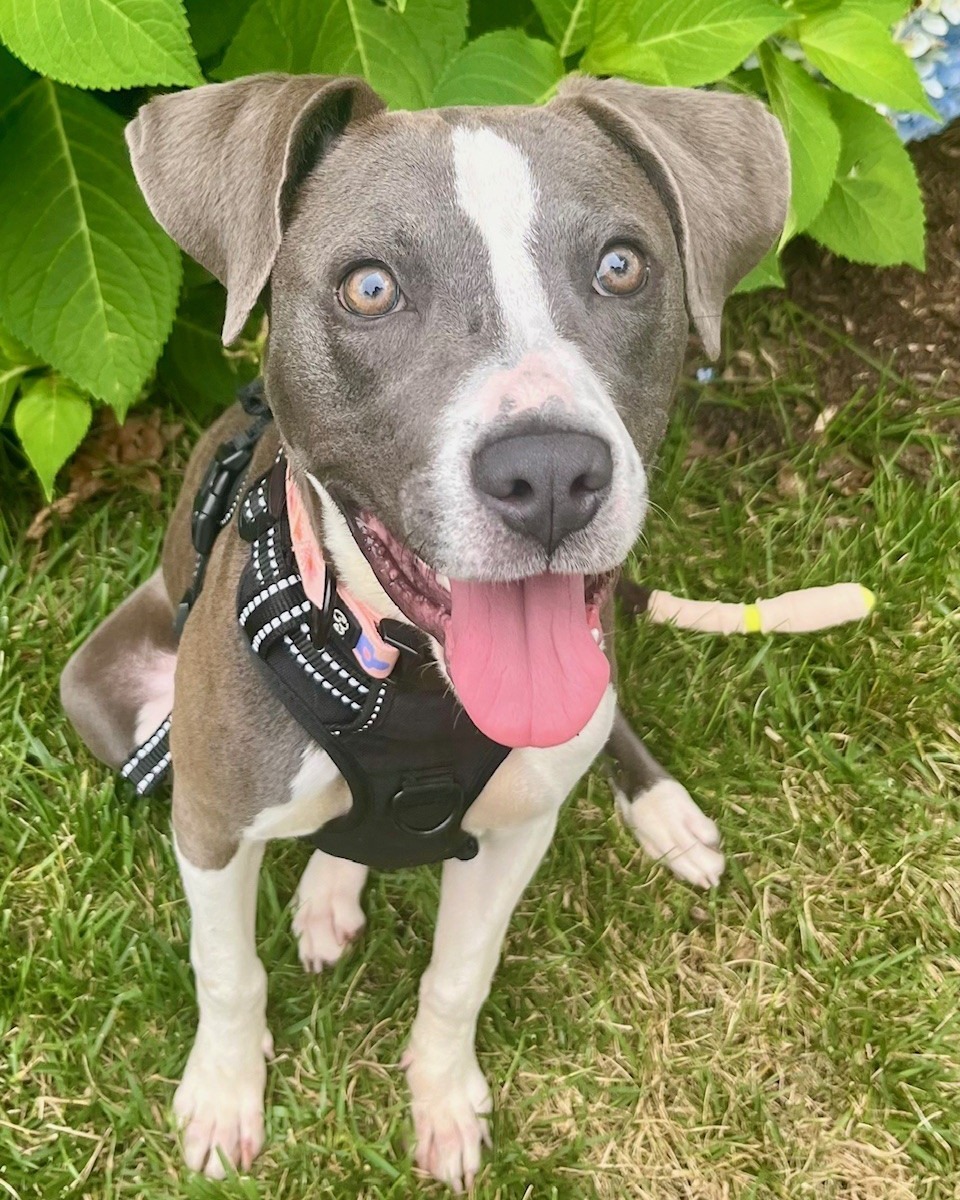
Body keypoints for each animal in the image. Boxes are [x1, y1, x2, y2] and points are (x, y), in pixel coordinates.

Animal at [60, 70, 787, 1185]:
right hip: (97, 690)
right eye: (369, 288)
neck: (403, 677)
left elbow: (458, 977)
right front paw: (225, 1095)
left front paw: (443, 1099)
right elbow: (227, 975)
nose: (548, 473)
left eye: (623, 266)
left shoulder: (518, 833)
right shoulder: (212, 824)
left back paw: (660, 812)